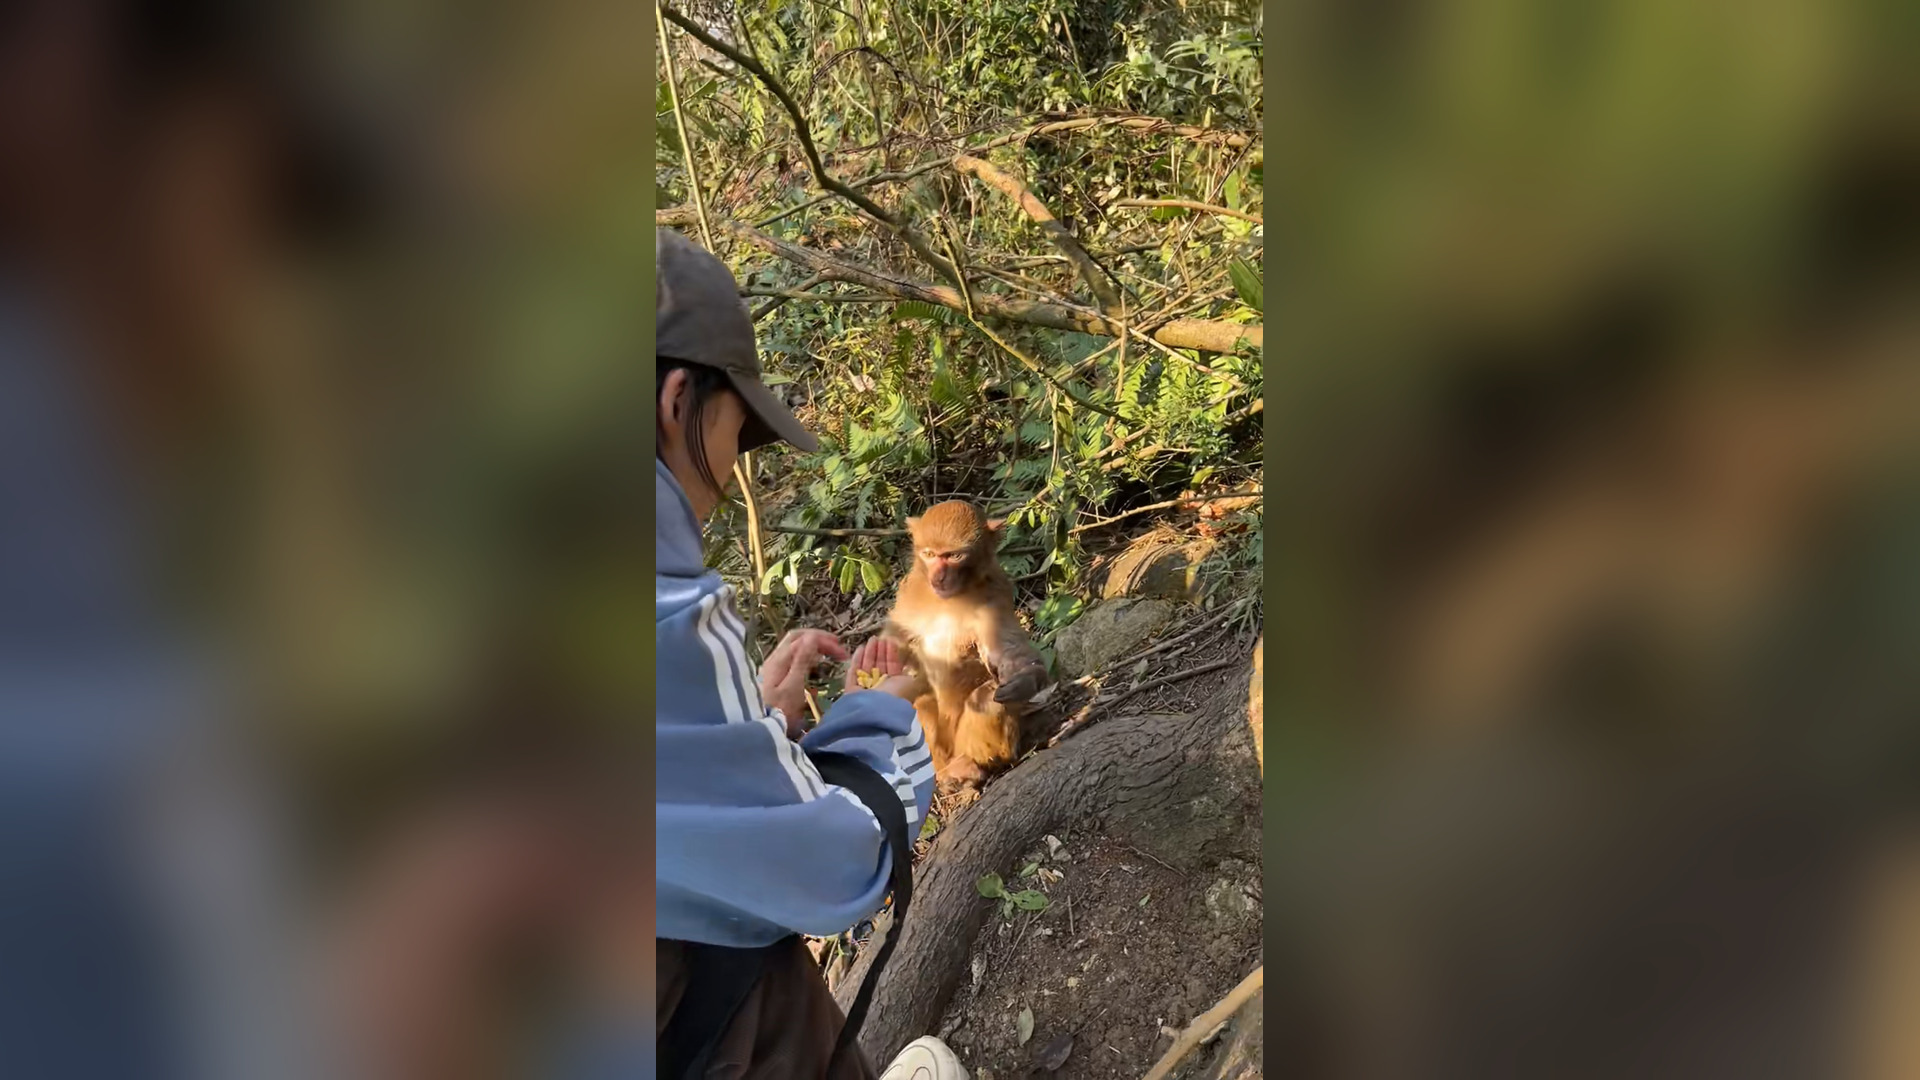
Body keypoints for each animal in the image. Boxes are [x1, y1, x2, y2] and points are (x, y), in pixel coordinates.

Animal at [882, 500, 1051, 786]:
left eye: (954, 556)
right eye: (930, 554)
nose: (938, 578)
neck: (949, 599)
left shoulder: (994, 598)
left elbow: (1007, 652)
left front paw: (1026, 680)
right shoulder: (910, 593)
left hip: (970, 743)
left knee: (988, 698)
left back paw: (971, 767)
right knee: (919, 704)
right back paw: (945, 772)